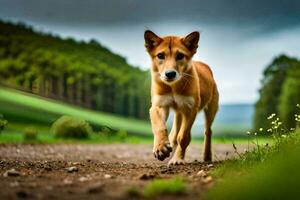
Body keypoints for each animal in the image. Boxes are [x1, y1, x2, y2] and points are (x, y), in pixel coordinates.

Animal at [144, 30, 219, 165]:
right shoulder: (159, 105)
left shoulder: (190, 109)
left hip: (211, 108)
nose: (170, 74)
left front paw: (177, 159)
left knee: (208, 131)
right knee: (174, 133)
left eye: (180, 56)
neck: (173, 86)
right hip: (179, 112)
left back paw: (207, 156)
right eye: (160, 55)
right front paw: (161, 147)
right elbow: (159, 126)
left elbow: (183, 137)